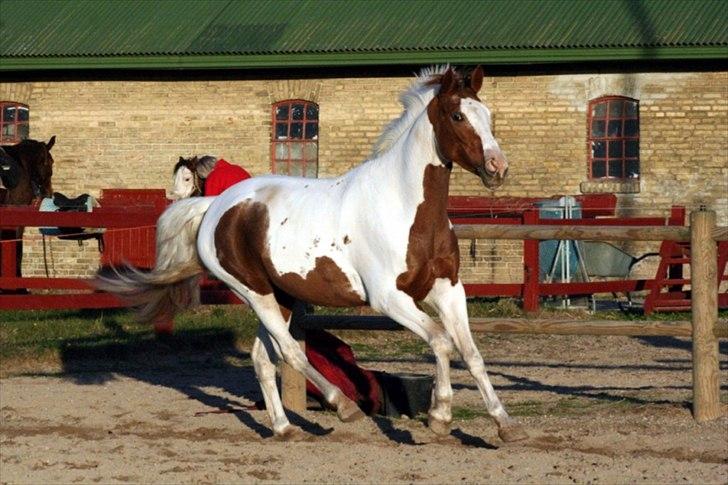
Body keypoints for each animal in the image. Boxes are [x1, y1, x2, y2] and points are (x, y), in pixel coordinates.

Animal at [98, 68, 528, 442]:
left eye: (488, 115)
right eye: (457, 115)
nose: (498, 167)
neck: (405, 206)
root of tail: (215, 207)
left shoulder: (448, 289)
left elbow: (471, 353)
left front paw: (505, 426)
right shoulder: (389, 298)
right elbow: (441, 342)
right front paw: (439, 417)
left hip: (281, 296)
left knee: (262, 357)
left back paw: (284, 428)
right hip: (254, 293)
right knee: (289, 351)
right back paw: (344, 407)